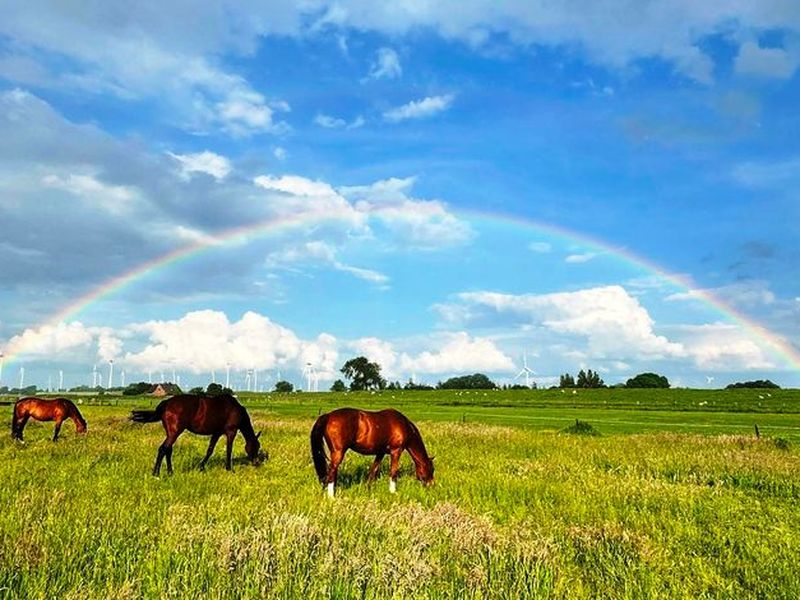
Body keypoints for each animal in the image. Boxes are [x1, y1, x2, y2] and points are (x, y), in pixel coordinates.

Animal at [129, 394, 266, 478]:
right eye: (257, 446)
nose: (256, 462)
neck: (235, 409)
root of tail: (167, 403)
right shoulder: (231, 432)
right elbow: (229, 450)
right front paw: (229, 469)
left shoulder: (216, 433)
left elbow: (210, 450)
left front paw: (201, 467)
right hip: (175, 432)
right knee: (163, 449)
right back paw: (156, 473)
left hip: (171, 433)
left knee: (168, 450)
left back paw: (170, 472)